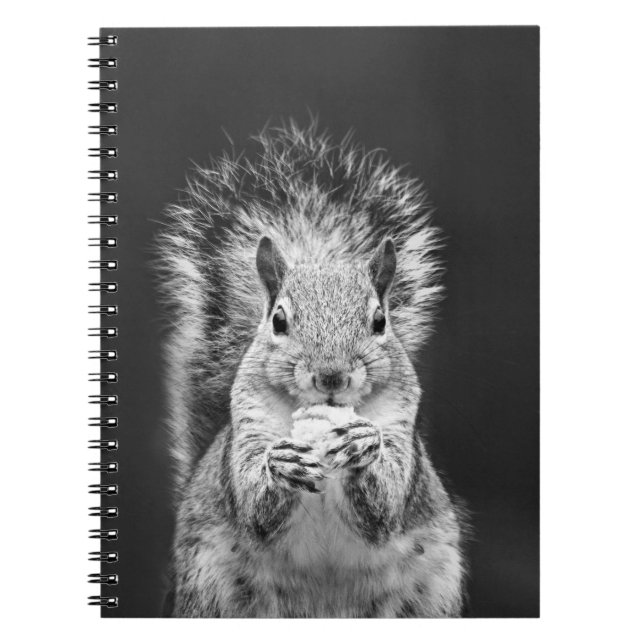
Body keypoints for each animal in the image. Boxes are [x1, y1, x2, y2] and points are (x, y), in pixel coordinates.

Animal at [156, 121, 466, 618]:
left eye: (380, 321)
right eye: (279, 321)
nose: (331, 376)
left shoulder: (401, 424)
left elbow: (386, 504)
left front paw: (363, 444)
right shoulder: (248, 423)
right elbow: (254, 505)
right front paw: (279, 465)